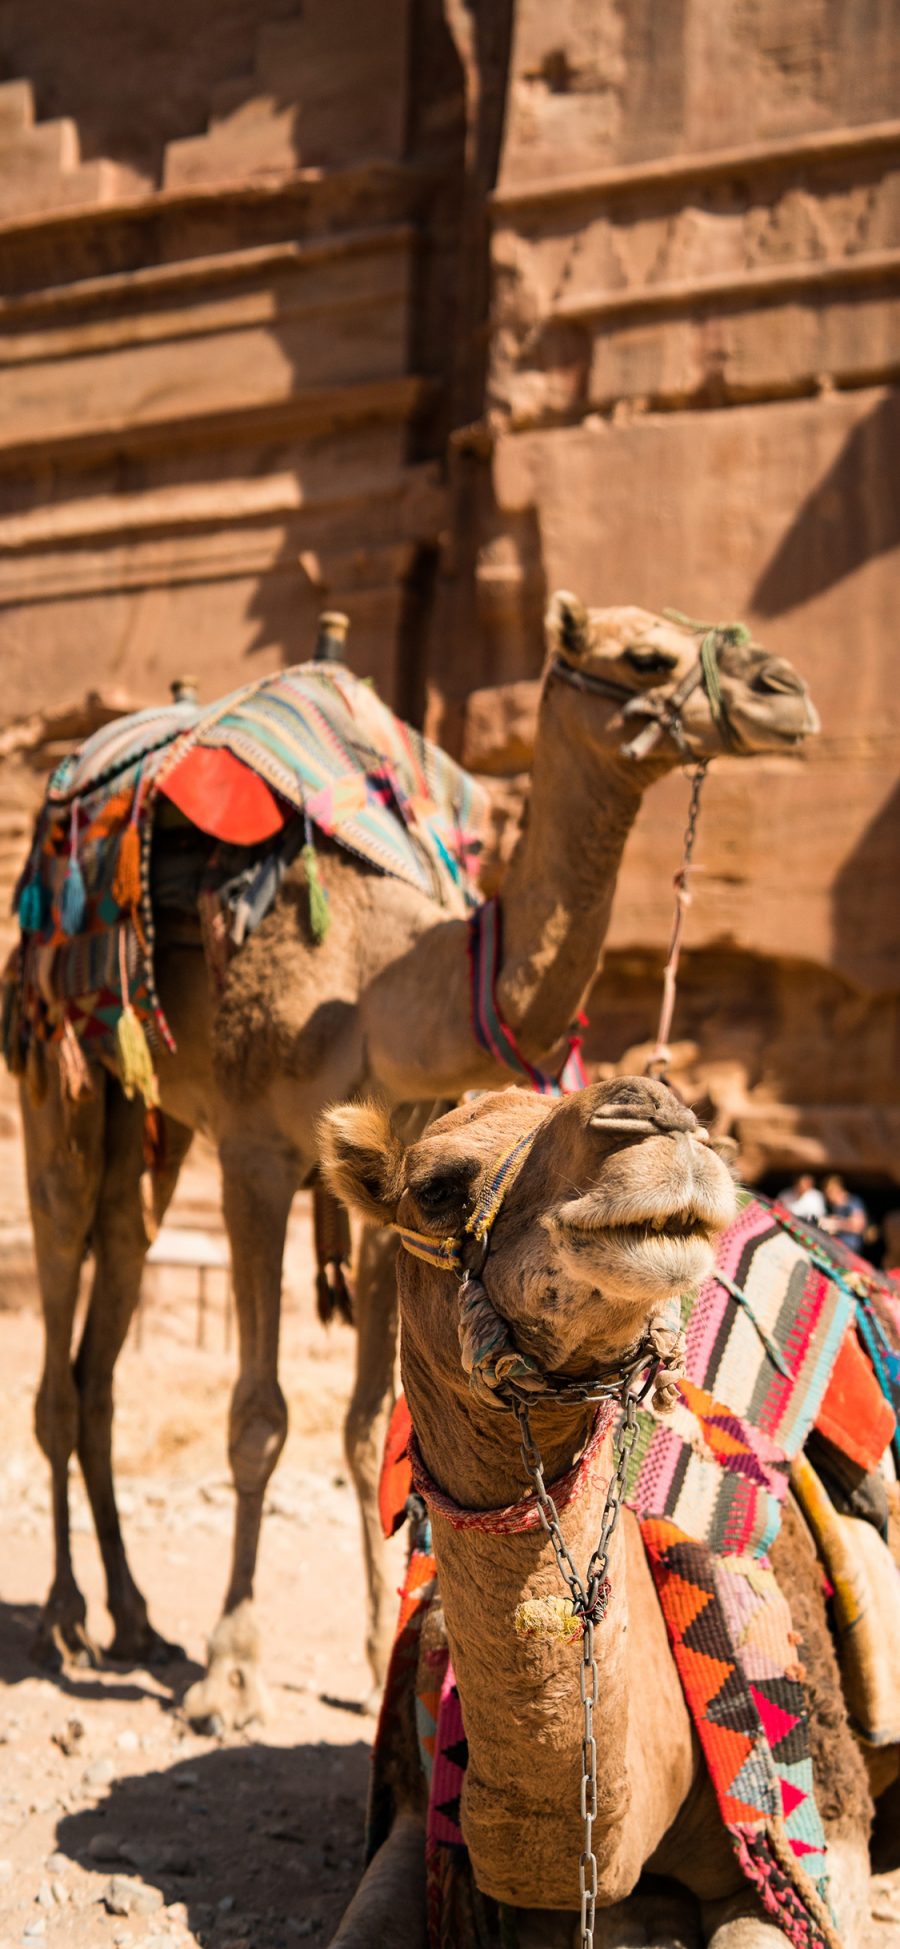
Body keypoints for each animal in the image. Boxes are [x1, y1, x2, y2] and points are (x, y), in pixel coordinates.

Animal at [19, 592, 822, 1722]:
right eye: (642, 654)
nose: (783, 691)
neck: (380, 987)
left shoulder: (383, 1192)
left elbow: (366, 1424)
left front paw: (370, 1661)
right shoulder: (259, 1150)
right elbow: (259, 1417)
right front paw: (232, 1669)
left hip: (154, 1124)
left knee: (114, 1293)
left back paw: (134, 1616)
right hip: (62, 1069)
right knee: (61, 1289)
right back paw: (64, 1616)